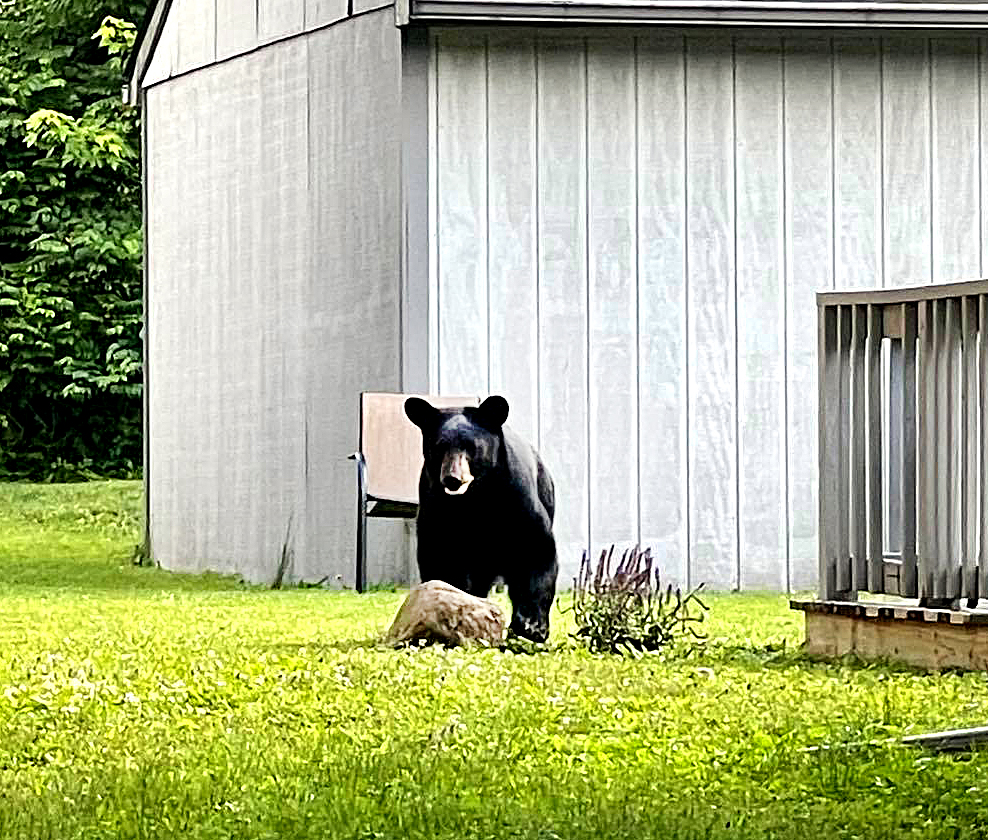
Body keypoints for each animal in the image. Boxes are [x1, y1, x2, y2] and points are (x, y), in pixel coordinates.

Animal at [404, 395, 558, 643]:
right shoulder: (436, 508)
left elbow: (536, 551)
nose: (452, 478)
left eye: (471, 446)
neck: (476, 499)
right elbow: (440, 556)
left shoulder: (518, 501)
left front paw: (531, 626)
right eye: (439, 447)